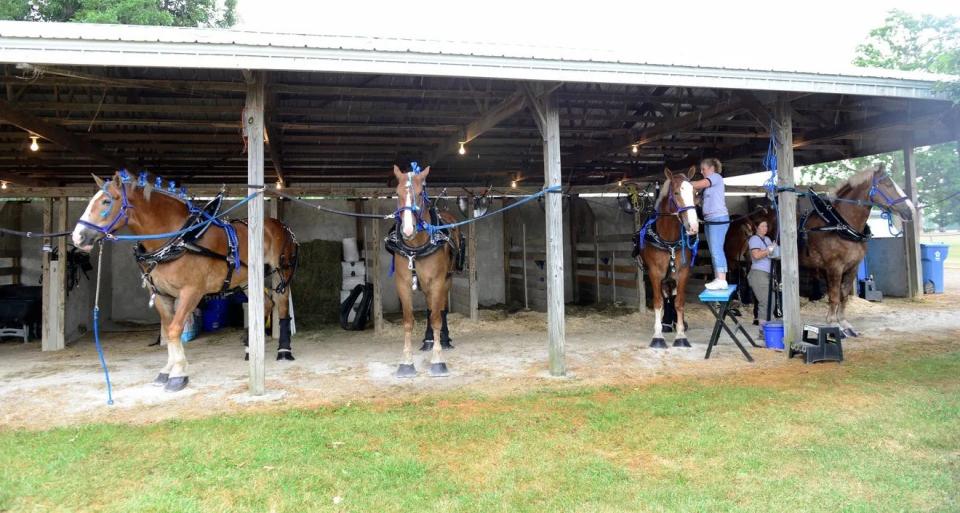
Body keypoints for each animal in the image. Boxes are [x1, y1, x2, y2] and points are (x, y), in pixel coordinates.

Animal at [72, 170, 298, 390]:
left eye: (106, 201)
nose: (77, 237)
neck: (180, 240)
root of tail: (280, 225)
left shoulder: (191, 292)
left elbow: (174, 330)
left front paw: (178, 374)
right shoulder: (160, 294)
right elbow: (168, 329)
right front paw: (167, 370)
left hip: (281, 272)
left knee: (282, 306)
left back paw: (284, 351)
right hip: (246, 279)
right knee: (266, 304)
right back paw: (251, 348)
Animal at [388, 164, 466, 376]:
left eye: (419, 194)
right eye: (397, 193)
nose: (407, 230)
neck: (416, 247)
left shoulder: (437, 281)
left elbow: (437, 317)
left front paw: (438, 359)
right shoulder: (402, 284)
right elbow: (408, 321)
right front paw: (406, 362)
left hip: (446, 280)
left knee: (440, 309)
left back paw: (444, 340)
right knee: (431, 307)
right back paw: (428, 340)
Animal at [632, 168, 700, 348]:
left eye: (695, 193)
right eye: (676, 193)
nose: (693, 227)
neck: (669, 240)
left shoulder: (683, 273)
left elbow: (679, 302)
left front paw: (681, 335)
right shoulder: (655, 274)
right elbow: (658, 302)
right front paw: (658, 336)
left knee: (672, 296)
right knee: (666, 297)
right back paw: (666, 324)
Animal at [796, 161, 916, 336]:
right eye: (887, 183)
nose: (911, 210)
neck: (839, 225)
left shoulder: (852, 267)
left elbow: (844, 295)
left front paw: (844, 324)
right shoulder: (834, 267)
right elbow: (834, 296)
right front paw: (834, 323)